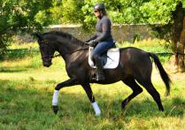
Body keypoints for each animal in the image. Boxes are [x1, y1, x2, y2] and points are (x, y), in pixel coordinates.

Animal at [34, 30, 171, 116]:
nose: (46, 63)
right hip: (127, 79)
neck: (74, 53)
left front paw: (55, 108)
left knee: (154, 93)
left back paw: (161, 112)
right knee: (137, 90)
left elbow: (86, 94)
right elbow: (61, 87)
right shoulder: (80, 81)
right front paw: (55, 109)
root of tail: (146, 53)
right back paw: (122, 106)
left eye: (42, 46)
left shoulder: (79, 80)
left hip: (143, 78)